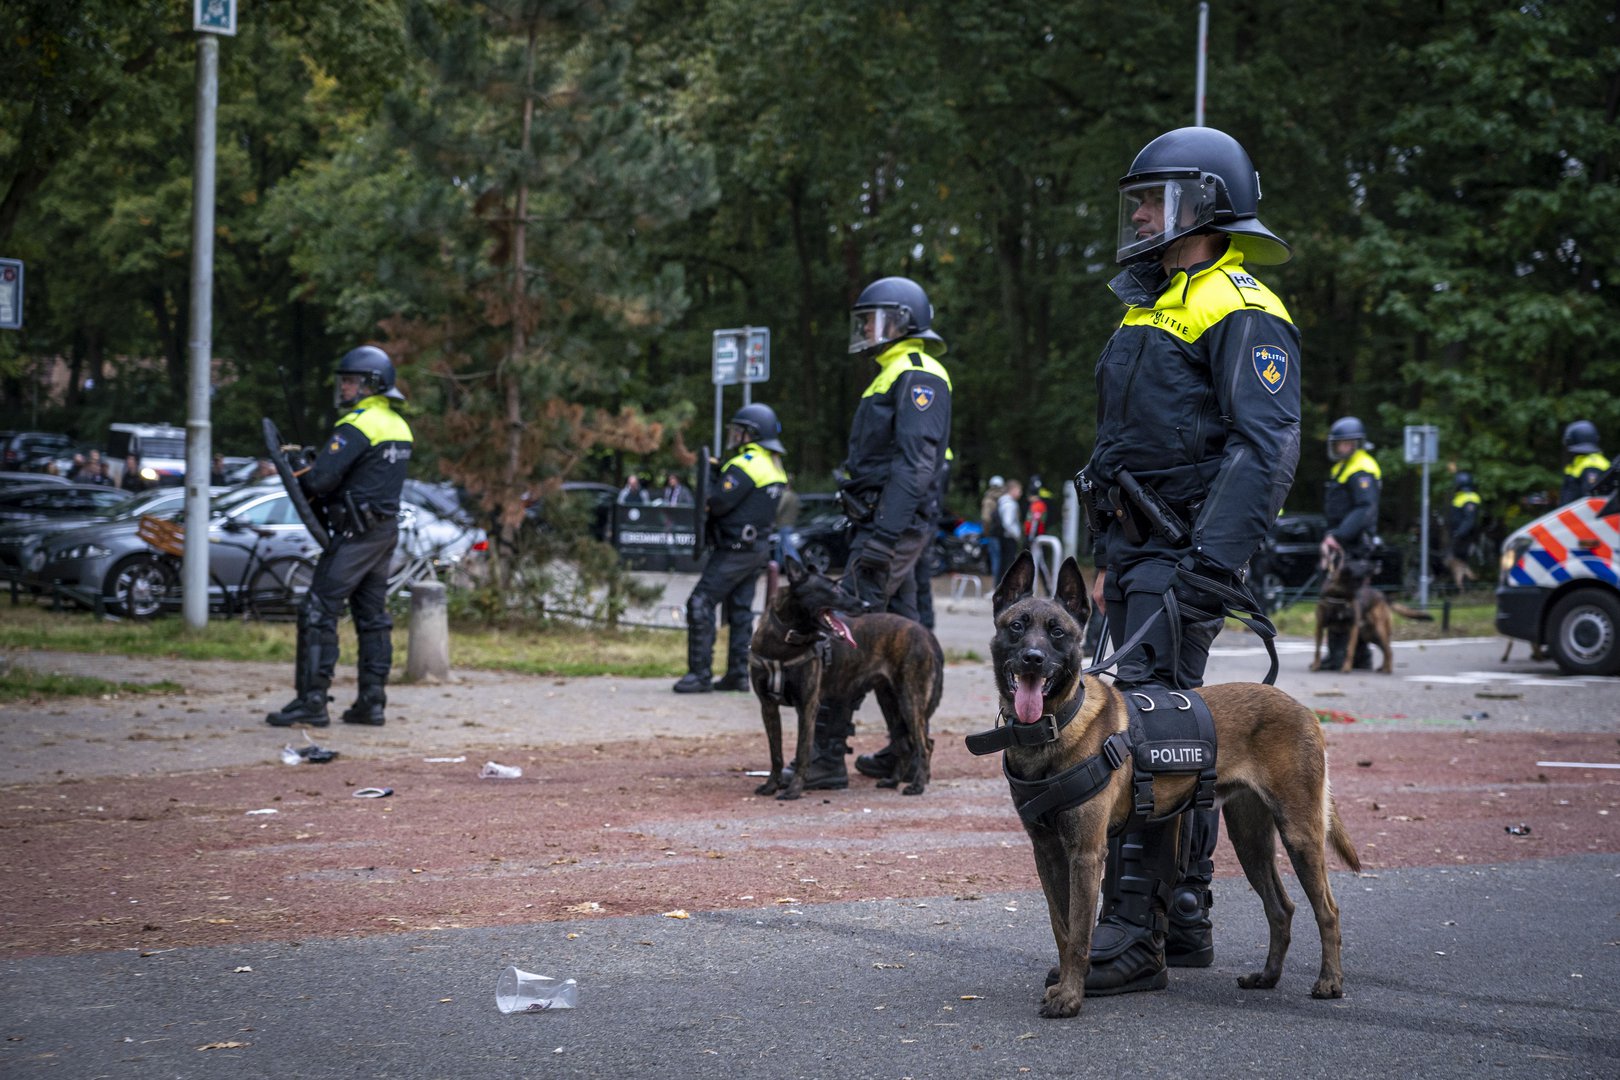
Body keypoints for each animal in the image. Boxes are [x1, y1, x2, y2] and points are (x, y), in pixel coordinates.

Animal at [751, 557, 946, 803]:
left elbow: (802, 751)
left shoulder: (807, 706)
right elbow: (775, 753)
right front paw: (771, 786)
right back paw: (892, 781)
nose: (866, 604)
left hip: (910, 701)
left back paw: (917, 785)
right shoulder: (767, 706)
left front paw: (793, 790)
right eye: (834, 589)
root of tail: (928, 634)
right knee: (905, 745)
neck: (785, 639)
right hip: (891, 703)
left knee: (924, 745)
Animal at [991, 553, 1360, 1016]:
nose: (1033, 659)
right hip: (1250, 840)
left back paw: (1330, 981)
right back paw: (1267, 976)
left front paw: (1071, 997)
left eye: (1058, 632)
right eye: (1016, 626)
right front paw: (1065, 984)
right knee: (1282, 907)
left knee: (1328, 909)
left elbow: (1078, 933)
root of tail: (1305, 709)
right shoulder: (1048, 852)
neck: (1053, 727)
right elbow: (1062, 927)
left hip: (1300, 833)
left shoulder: (1086, 853)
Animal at [1308, 550, 1438, 676]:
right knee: (1385, 650)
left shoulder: (1352, 628)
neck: (1341, 594)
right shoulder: (1320, 626)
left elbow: (1349, 649)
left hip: (1380, 630)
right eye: (1362, 563)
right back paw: (1383, 668)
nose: (1380, 562)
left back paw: (1387, 670)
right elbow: (1317, 650)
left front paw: (1346, 668)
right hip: (1370, 634)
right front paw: (1316, 666)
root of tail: (1383, 596)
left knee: (1389, 651)